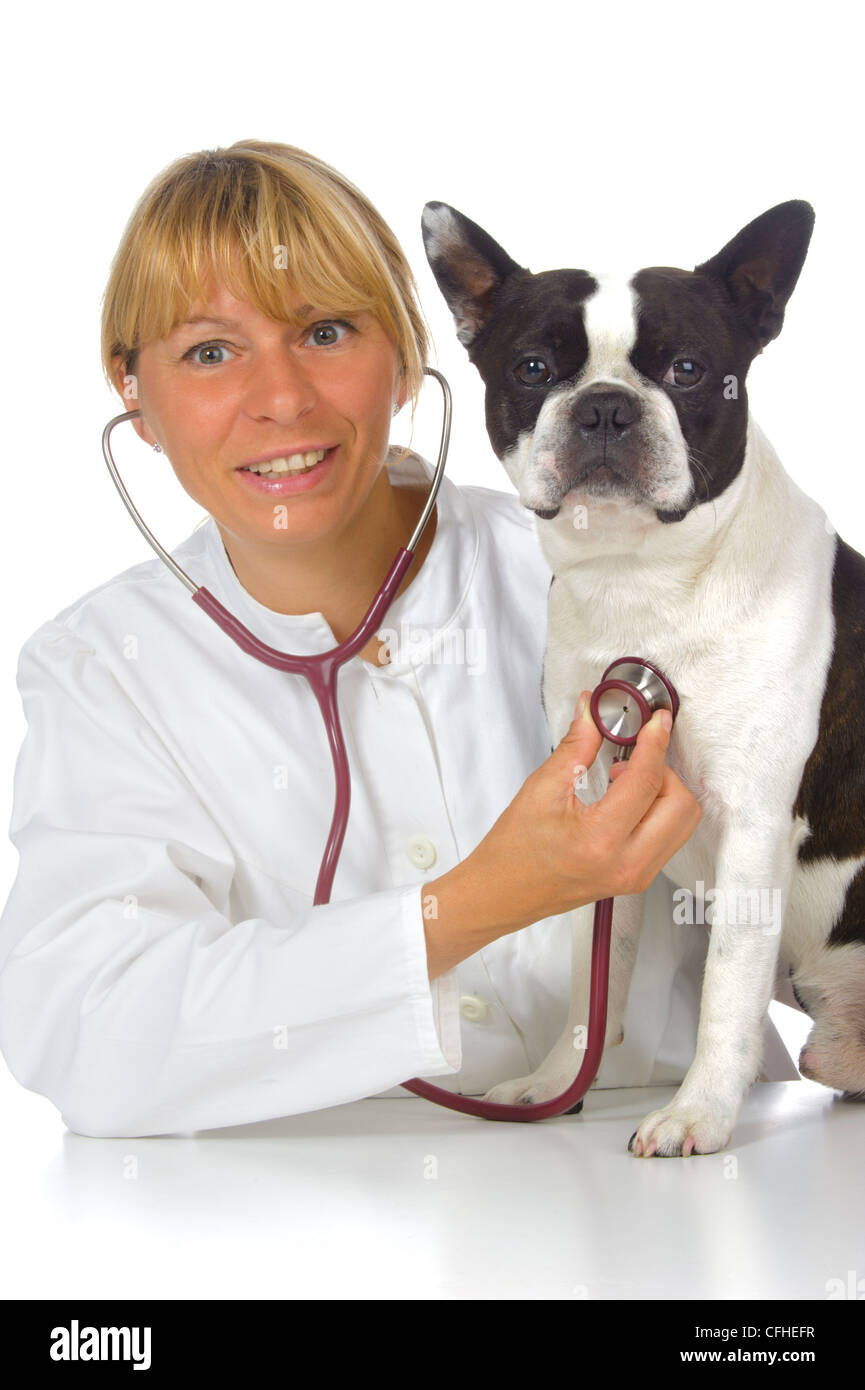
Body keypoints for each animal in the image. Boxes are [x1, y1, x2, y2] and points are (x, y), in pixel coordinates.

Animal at [422, 195, 865, 1150]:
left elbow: (726, 985)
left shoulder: (752, 826)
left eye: (689, 369)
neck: (645, 578)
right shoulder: (600, 806)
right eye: (533, 367)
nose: (604, 407)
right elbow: (601, 974)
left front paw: (697, 1113)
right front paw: (558, 1082)